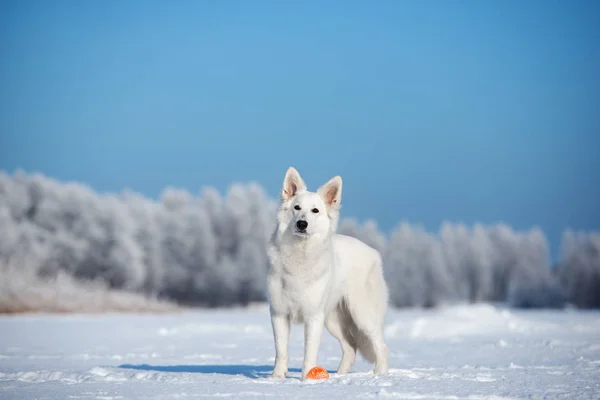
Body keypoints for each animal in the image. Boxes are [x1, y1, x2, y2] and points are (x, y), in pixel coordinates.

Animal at [266, 167, 390, 380]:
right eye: (297, 207)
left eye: (315, 211)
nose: (302, 224)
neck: (300, 255)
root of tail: (373, 252)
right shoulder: (279, 313)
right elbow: (281, 351)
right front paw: (276, 378)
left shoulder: (313, 317)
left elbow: (309, 352)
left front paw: (306, 379)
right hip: (333, 320)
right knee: (350, 348)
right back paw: (340, 376)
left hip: (362, 316)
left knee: (381, 346)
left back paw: (379, 375)